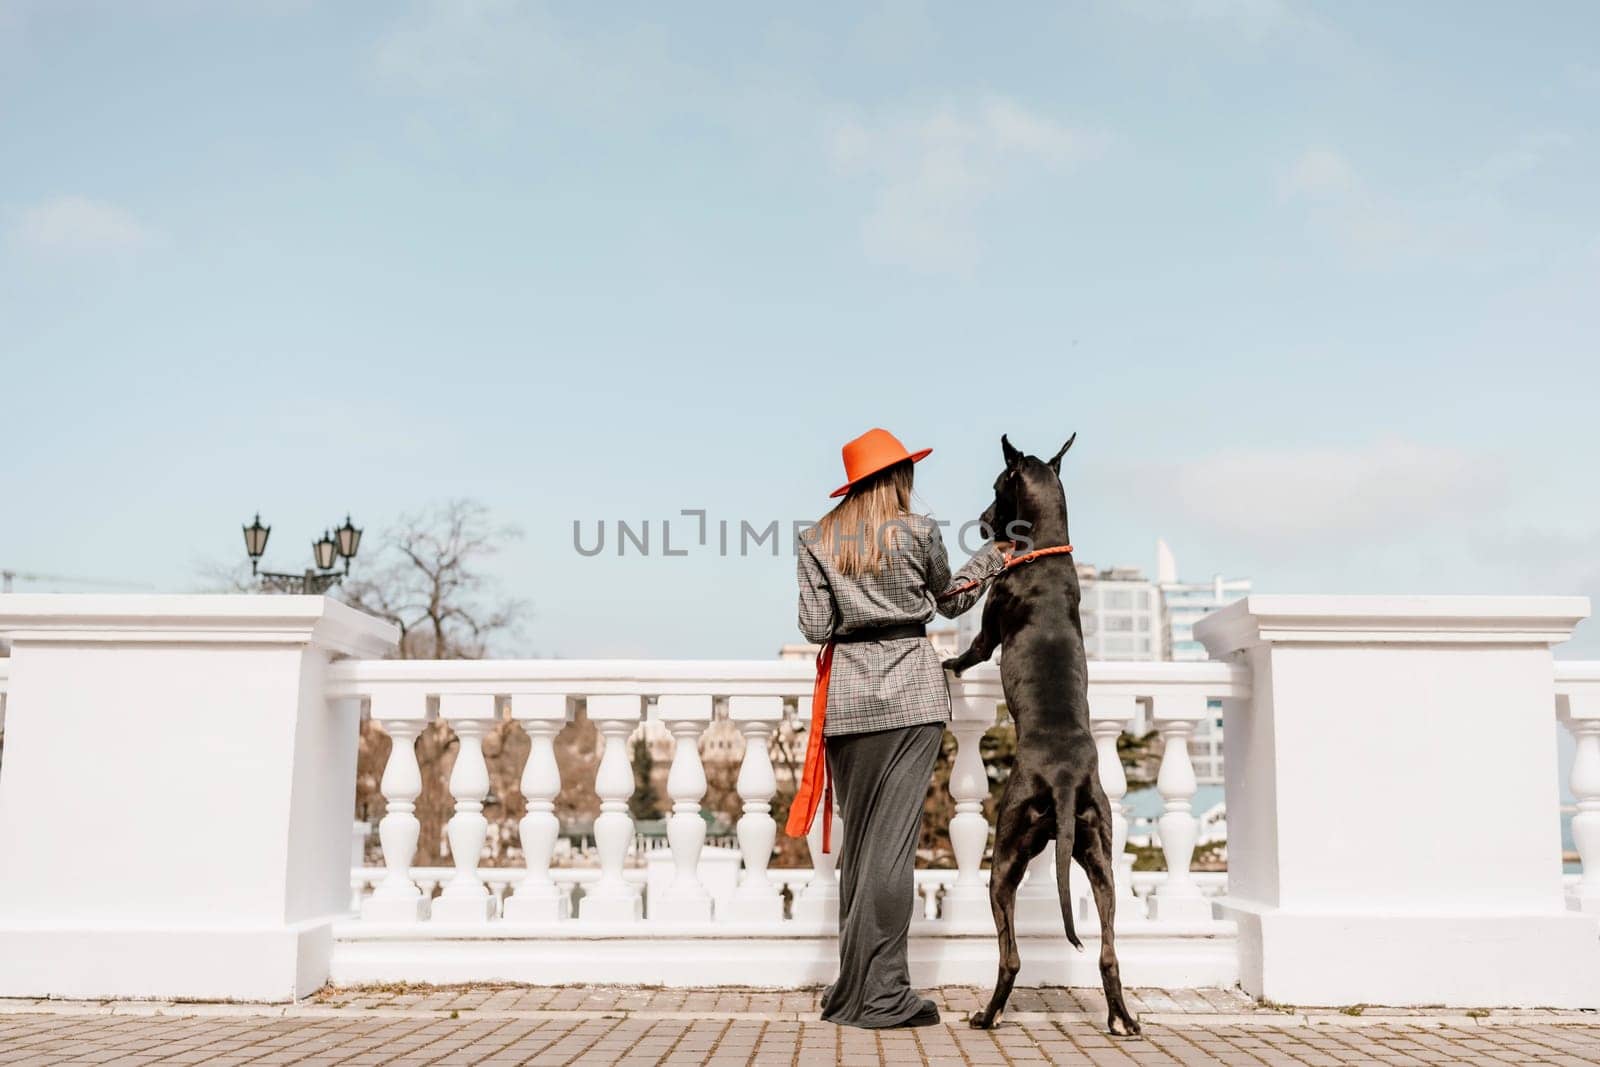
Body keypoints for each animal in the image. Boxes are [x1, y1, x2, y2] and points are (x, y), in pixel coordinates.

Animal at [947, 431, 1139, 1036]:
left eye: (995, 488)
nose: (985, 523)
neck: (1048, 550)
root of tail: (1062, 781)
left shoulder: (988, 631)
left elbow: (969, 651)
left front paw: (945, 665)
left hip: (1005, 853)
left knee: (1010, 955)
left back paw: (986, 1015)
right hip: (1100, 855)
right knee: (1108, 951)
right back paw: (1123, 1018)